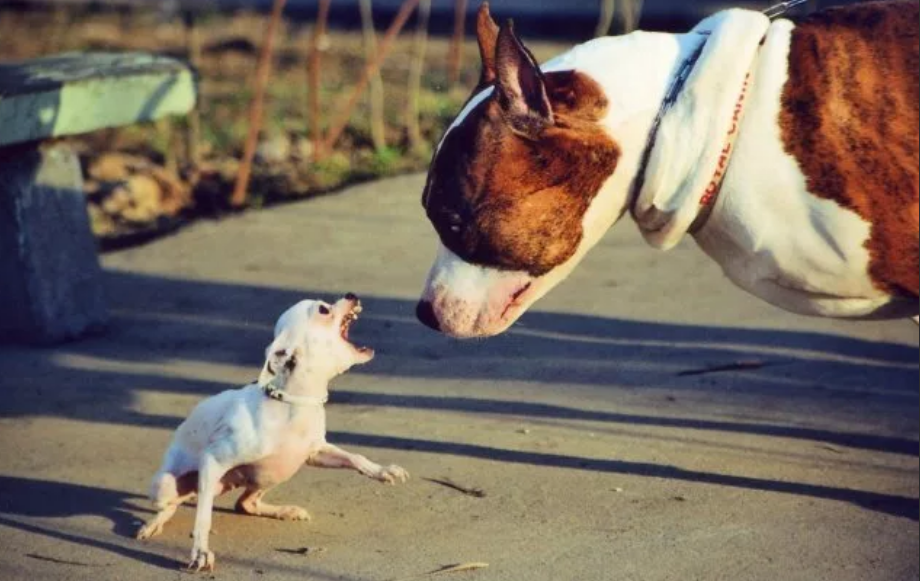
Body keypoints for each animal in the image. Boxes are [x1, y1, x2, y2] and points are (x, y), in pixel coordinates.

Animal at [137, 294, 410, 572]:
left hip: (277, 471)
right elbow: (203, 517)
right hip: (167, 485)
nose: (351, 295)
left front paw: (382, 471)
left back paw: (285, 511)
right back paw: (154, 524)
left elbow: (356, 457)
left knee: (244, 503)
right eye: (323, 310)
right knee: (173, 505)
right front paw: (200, 553)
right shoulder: (213, 460)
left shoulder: (315, 452)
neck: (294, 402)